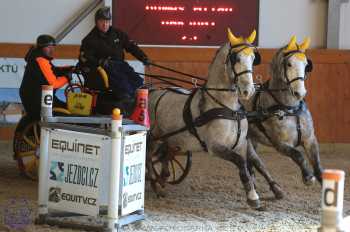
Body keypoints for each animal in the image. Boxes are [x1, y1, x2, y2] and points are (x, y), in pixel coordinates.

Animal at [148, 29, 266, 208]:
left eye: (253, 58)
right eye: (236, 58)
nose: (247, 91)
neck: (228, 108)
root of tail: (152, 91)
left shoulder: (241, 144)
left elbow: (248, 166)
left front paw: (253, 193)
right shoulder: (215, 146)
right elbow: (241, 162)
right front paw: (253, 196)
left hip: (171, 139)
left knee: (165, 156)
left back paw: (162, 180)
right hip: (153, 137)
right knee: (148, 159)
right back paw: (155, 187)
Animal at [242, 35, 324, 198]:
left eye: (306, 65)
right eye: (289, 64)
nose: (300, 93)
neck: (290, 108)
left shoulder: (310, 139)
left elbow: (318, 166)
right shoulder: (280, 144)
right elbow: (298, 155)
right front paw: (308, 177)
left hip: (253, 138)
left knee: (252, 164)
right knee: (257, 162)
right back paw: (274, 189)